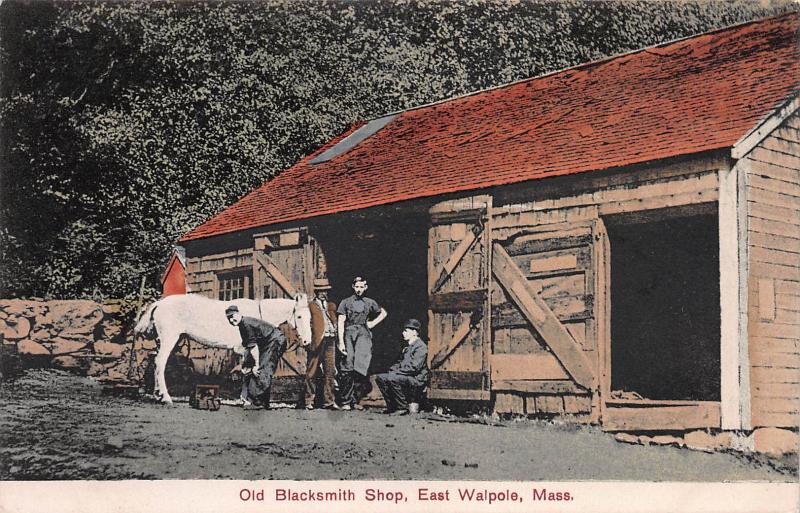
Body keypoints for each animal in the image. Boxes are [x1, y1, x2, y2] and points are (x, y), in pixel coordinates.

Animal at [133, 292, 310, 404]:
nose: (307, 341)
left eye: (309, 318)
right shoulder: (247, 348)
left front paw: (244, 399)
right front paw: (245, 400)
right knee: (160, 363)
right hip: (169, 338)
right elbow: (248, 371)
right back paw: (166, 397)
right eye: (299, 316)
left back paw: (157, 395)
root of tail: (160, 303)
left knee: (156, 363)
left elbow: (246, 371)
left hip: (163, 340)